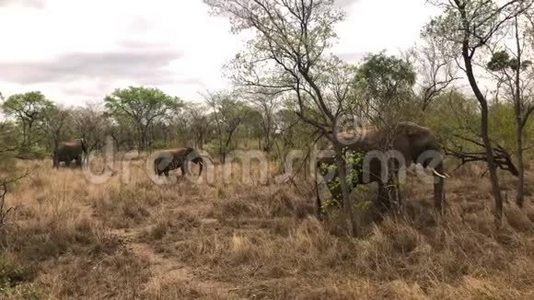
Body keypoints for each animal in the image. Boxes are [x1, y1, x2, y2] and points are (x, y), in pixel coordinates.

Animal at [318, 122, 448, 216]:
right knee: (339, 193)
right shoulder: (388, 154)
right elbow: (389, 183)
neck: (410, 127)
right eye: (427, 147)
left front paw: (382, 212)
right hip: (332, 167)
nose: (438, 212)